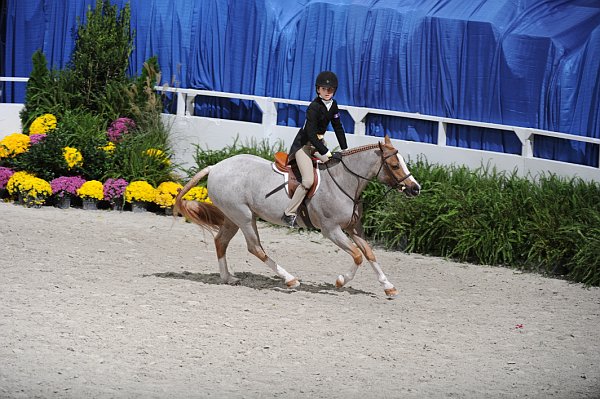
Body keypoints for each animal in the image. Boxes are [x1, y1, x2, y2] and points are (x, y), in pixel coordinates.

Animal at [173, 136, 420, 298]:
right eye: (394, 165)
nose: (415, 189)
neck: (344, 181)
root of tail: (215, 167)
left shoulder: (353, 228)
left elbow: (369, 253)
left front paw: (388, 286)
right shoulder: (331, 230)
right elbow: (358, 256)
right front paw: (340, 281)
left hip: (234, 218)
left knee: (221, 241)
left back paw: (228, 278)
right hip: (243, 217)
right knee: (255, 248)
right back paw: (290, 280)